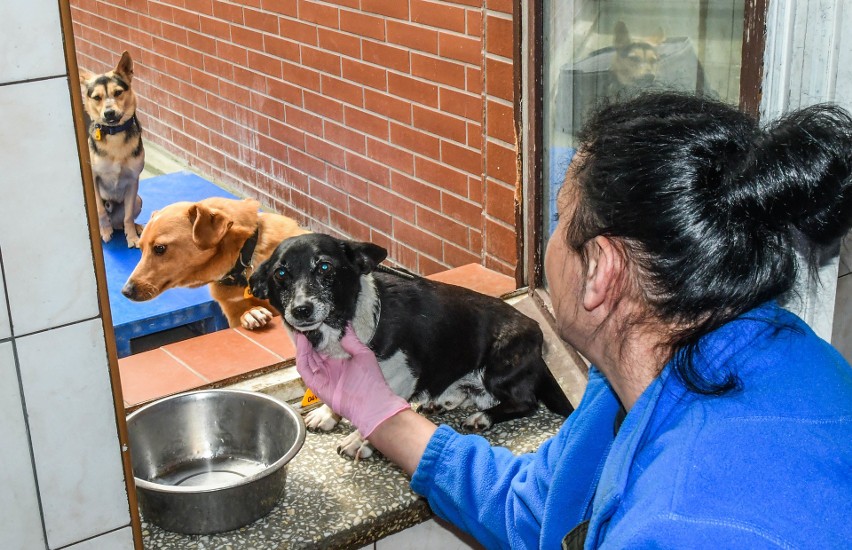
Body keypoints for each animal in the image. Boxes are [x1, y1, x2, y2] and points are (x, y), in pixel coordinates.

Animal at [78, 51, 145, 250]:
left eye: (118, 92)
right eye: (96, 97)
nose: (109, 113)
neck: (115, 135)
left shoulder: (132, 181)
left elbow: (128, 216)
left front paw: (132, 237)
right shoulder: (93, 179)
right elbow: (100, 211)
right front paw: (105, 231)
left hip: (138, 199)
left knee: (121, 222)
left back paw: (136, 228)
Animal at [250, 235, 576, 460]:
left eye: (325, 267)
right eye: (280, 274)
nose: (301, 310)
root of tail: (535, 330)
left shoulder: (401, 377)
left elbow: (379, 412)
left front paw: (360, 441)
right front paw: (327, 414)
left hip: (498, 368)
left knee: (525, 402)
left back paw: (482, 417)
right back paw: (443, 401)